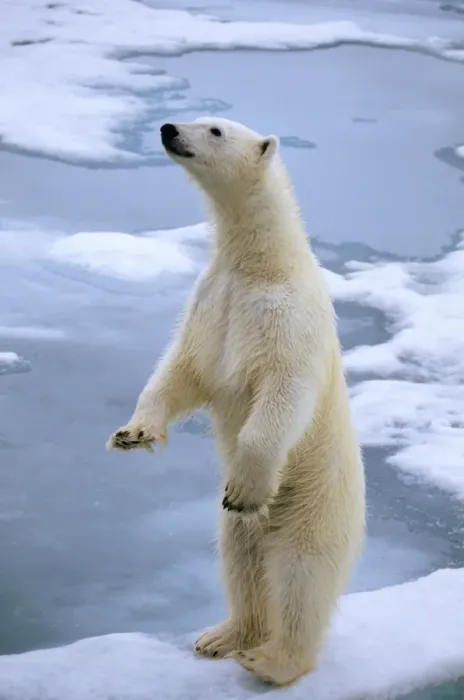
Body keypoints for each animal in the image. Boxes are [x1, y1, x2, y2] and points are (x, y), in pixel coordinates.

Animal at [107, 117, 366, 687]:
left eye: (216, 130)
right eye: (197, 116)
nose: (167, 127)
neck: (260, 264)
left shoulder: (286, 315)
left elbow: (283, 392)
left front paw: (245, 486)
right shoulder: (213, 303)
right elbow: (182, 370)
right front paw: (133, 433)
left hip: (313, 503)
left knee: (300, 574)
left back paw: (273, 660)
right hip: (248, 532)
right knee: (240, 559)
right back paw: (223, 636)